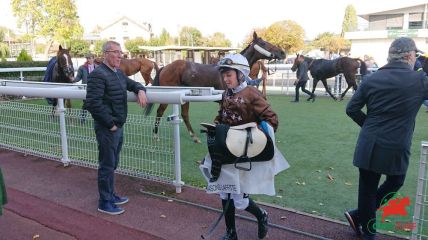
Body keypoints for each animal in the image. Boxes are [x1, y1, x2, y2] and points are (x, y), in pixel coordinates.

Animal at [145, 32, 286, 143]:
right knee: (160, 112)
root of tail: (165, 67)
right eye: (263, 43)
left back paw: (194, 137)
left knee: (184, 115)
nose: (282, 53)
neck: (232, 69)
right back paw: (155, 135)